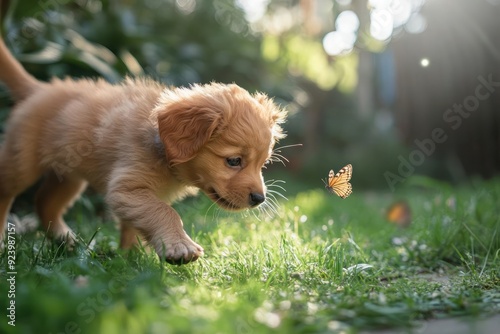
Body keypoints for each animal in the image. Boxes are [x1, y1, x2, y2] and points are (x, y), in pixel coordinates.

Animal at [0, 36, 286, 264]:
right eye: (234, 160)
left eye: (263, 164)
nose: (259, 199)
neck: (162, 147)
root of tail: (39, 89)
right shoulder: (127, 189)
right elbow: (164, 213)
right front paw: (179, 246)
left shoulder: (138, 194)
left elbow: (136, 224)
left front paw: (131, 256)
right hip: (21, 162)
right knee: (10, 193)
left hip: (68, 175)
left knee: (45, 202)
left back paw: (67, 241)